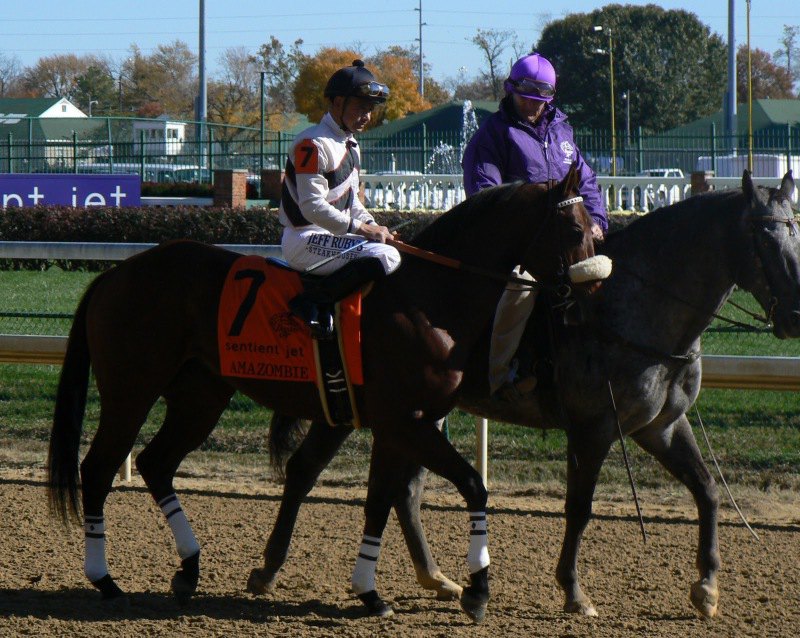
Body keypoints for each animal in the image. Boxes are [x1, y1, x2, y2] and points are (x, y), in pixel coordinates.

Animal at [45, 166, 592, 624]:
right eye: (575, 230)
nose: (587, 297)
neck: (428, 300)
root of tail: (115, 274)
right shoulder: (407, 421)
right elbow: (473, 486)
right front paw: (477, 588)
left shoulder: (394, 425)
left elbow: (378, 501)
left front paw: (370, 592)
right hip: (131, 389)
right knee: (98, 469)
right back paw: (106, 580)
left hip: (200, 396)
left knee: (156, 463)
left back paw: (190, 568)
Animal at [250, 170, 800, 620]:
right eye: (764, 236)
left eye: (795, 230)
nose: (794, 314)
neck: (628, 310)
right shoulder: (593, 429)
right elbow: (579, 508)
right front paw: (574, 592)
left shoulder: (661, 426)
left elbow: (707, 491)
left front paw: (706, 587)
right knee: (313, 471)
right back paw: (273, 568)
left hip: (411, 415)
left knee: (398, 489)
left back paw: (434, 578)